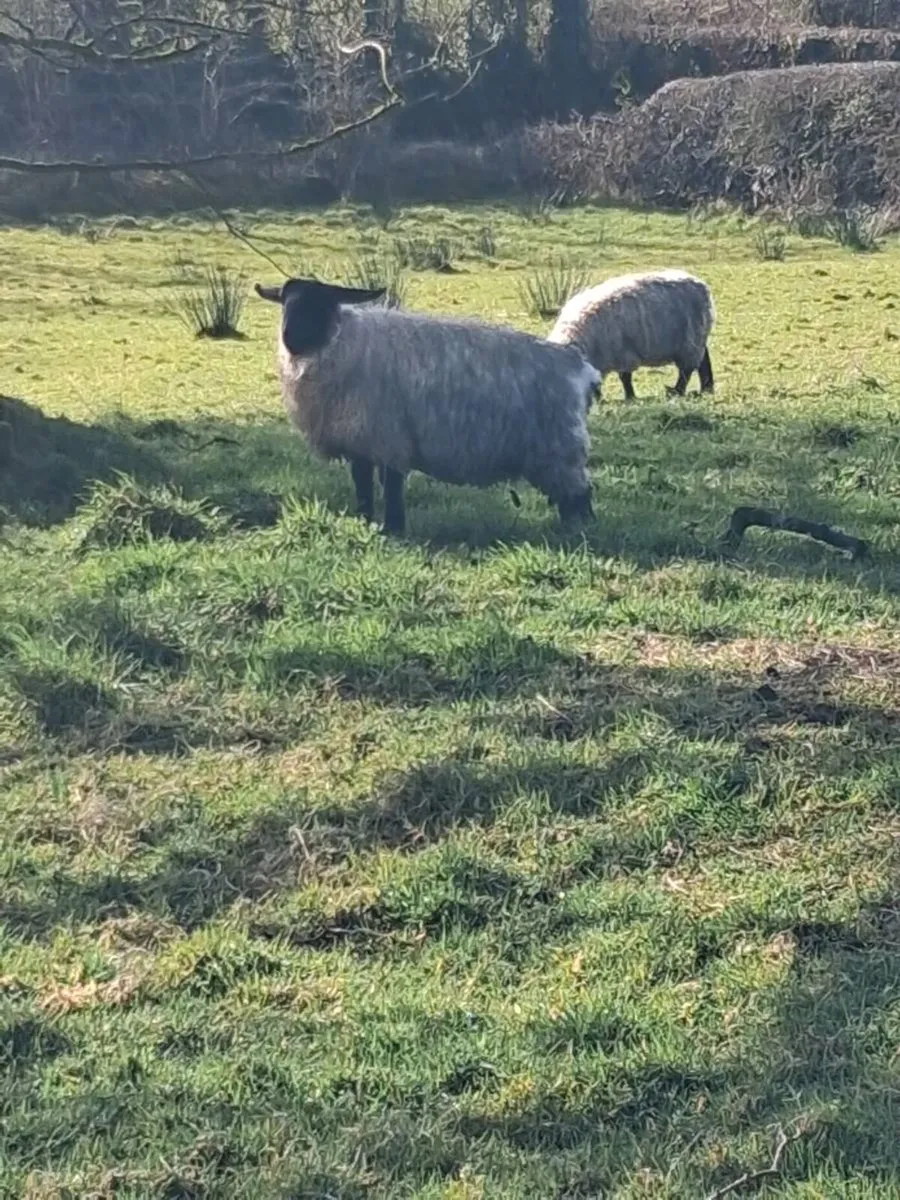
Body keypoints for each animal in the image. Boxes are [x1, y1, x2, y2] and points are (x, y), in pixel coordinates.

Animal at [255, 277, 600, 535]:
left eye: (320, 304)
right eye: (286, 303)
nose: (290, 338)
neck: (341, 343)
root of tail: (578, 366)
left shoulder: (389, 437)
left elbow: (391, 486)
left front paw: (393, 529)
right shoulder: (360, 438)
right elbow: (362, 484)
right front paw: (365, 521)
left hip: (560, 447)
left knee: (580, 495)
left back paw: (580, 532)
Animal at [547, 269, 715, 401]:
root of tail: (700, 284)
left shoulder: (623, 354)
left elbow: (625, 377)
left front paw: (630, 397)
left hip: (691, 340)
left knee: (687, 370)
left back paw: (678, 391)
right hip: (695, 339)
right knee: (703, 361)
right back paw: (706, 388)